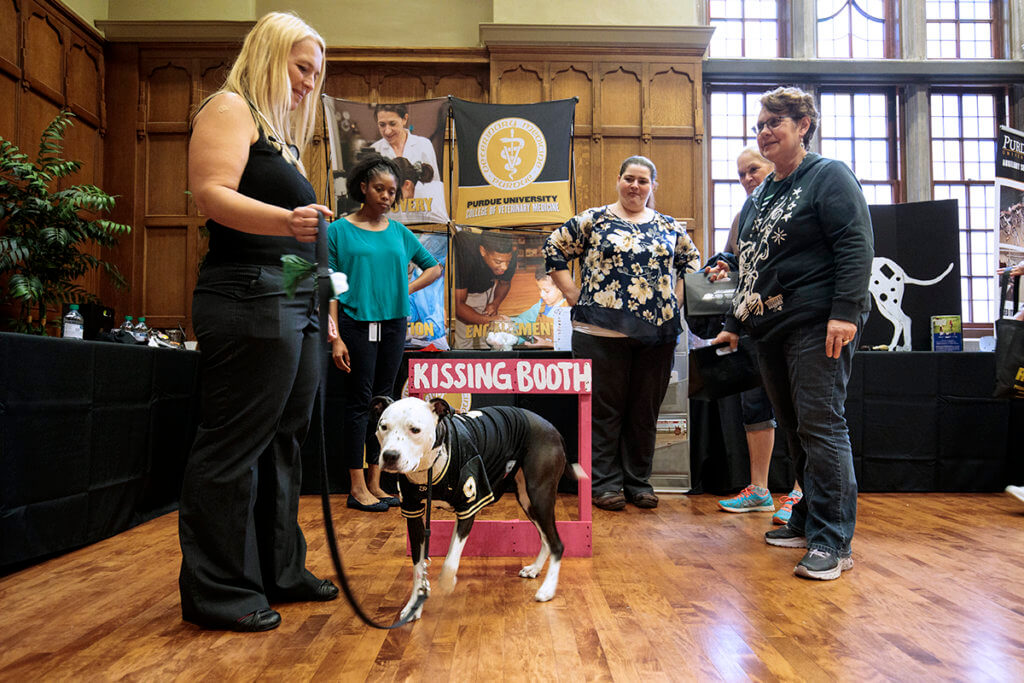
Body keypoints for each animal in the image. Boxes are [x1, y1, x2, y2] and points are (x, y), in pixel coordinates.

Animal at [370, 395, 585, 626]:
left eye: (415, 430)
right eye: (383, 427)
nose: (390, 455)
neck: (431, 462)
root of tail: (552, 429)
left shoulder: (469, 506)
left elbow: (450, 561)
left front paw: (446, 583)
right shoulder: (414, 514)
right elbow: (419, 567)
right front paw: (414, 605)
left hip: (539, 496)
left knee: (557, 543)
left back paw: (548, 589)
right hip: (527, 500)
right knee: (546, 539)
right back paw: (535, 569)